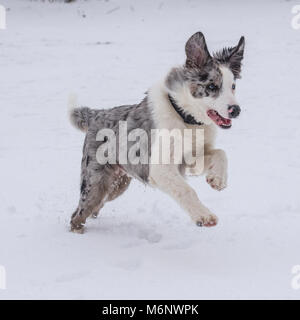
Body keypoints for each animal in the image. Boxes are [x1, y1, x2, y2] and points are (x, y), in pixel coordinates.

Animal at [69, 31, 245, 232]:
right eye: (212, 86)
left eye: (233, 86)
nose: (236, 110)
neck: (186, 118)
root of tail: (97, 114)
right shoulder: (160, 168)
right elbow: (186, 189)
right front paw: (204, 216)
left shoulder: (191, 158)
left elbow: (221, 153)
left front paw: (217, 179)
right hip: (96, 181)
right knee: (78, 213)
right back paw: (78, 232)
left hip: (117, 183)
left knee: (95, 207)